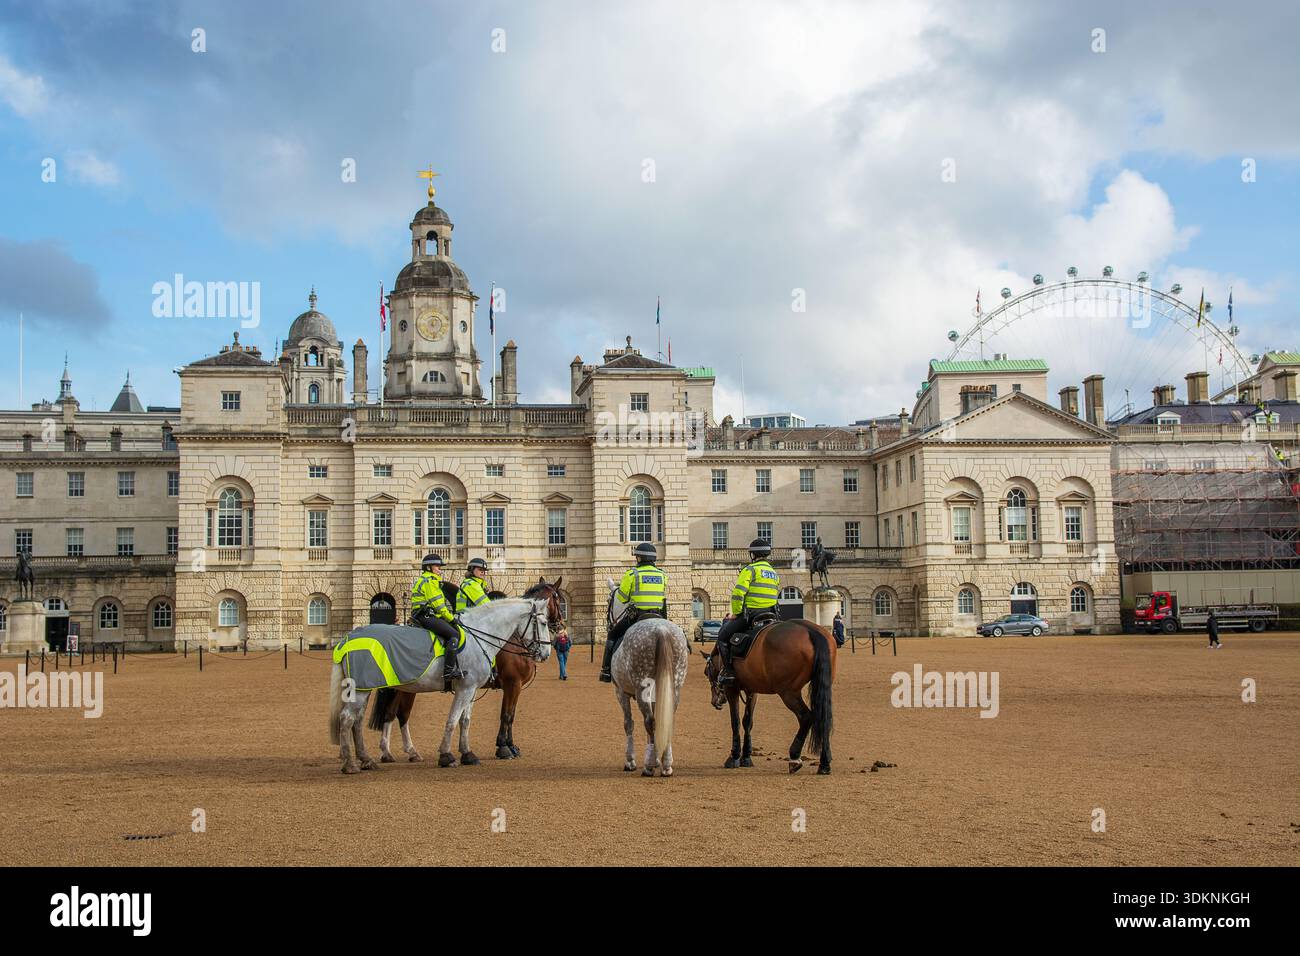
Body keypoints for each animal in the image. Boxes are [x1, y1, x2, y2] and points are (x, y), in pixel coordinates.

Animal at [329, 596, 552, 774]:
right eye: (543, 622)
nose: (546, 653)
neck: (481, 635)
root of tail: (349, 637)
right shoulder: (474, 688)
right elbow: (454, 720)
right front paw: (447, 755)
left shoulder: (472, 689)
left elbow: (465, 721)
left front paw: (467, 753)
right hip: (366, 689)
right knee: (349, 718)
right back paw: (351, 764)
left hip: (366, 689)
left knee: (361, 720)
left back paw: (369, 759)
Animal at [371, 578, 564, 763]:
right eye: (558, 600)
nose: (547, 651)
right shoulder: (512, 684)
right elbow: (507, 715)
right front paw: (504, 747)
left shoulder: (505, 687)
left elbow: (507, 715)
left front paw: (510, 746)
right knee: (400, 714)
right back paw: (403, 751)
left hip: (401, 687)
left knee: (391, 714)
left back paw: (394, 752)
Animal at [605, 580, 690, 777]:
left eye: (608, 601)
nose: (609, 626)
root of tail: (661, 630)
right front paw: (657, 757)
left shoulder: (621, 692)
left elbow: (629, 723)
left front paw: (631, 761)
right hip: (674, 687)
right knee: (666, 720)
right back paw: (666, 765)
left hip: (640, 687)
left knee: (649, 721)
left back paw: (649, 767)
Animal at [702, 615, 836, 774]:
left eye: (706, 673)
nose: (714, 701)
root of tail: (810, 630)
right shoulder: (752, 691)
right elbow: (748, 722)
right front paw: (746, 757)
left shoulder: (732, 690)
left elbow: (735, 722)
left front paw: (734, 757)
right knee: (823, 718)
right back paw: (824, 764)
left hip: (788, 693)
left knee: (806, 717)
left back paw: (795, 758)